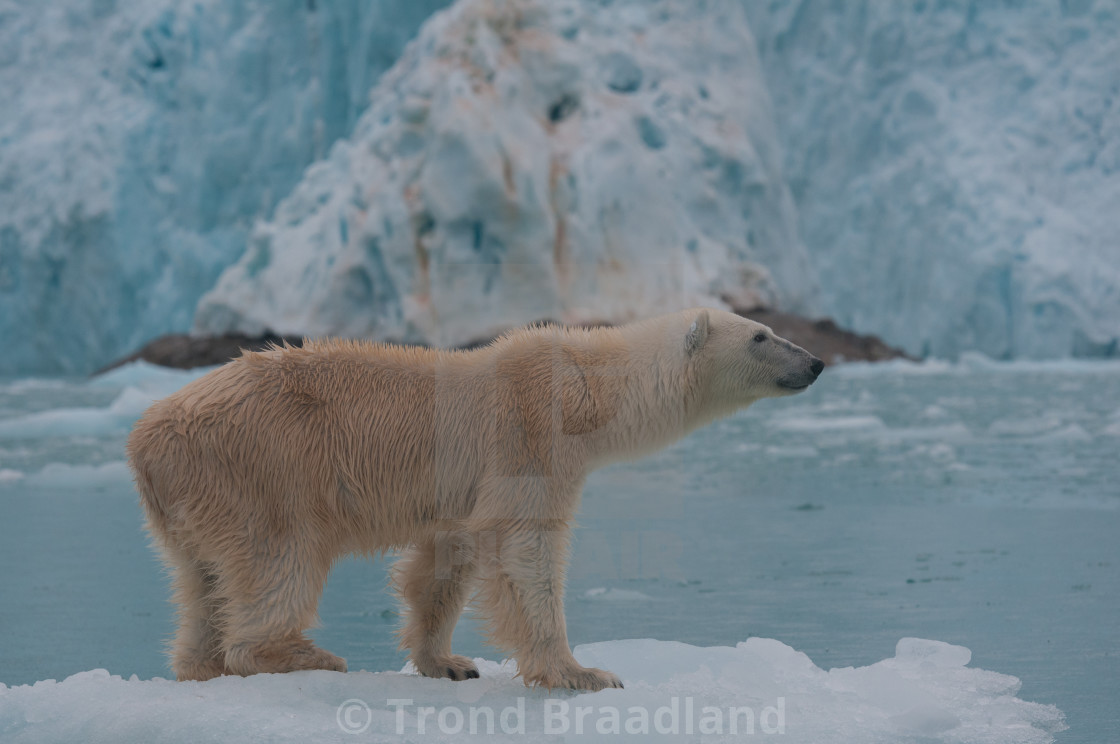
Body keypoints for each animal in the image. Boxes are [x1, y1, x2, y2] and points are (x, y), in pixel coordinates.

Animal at [127, 307, 824, 690]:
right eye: (761, 335)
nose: (816, 362)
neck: (585, 389)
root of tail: (144, 438)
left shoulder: (461, 492)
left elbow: (443, 562)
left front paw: (449, 662)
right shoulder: (527, 436)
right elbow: (524, 548)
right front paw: (582, 672)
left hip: (191, 501)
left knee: (200, 582)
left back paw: (200, 663)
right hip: (261, 471)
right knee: (278, 561)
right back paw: (303, 654)